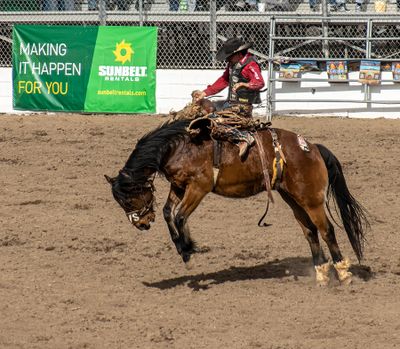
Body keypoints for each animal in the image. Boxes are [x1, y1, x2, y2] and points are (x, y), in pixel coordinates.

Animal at [105, 118, 368, 284]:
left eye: (128, 200)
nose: (141, 224)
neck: (178, 146)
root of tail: (312, 148)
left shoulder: (199, 187)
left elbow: (179, 216)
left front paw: (189, 249)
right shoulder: (179, 185)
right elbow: (168, 213)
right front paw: (183, 249)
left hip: (311, 199)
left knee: (326, 230)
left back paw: (343, 274)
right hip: (293, 198)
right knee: (310, 232)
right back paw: (322, 275)